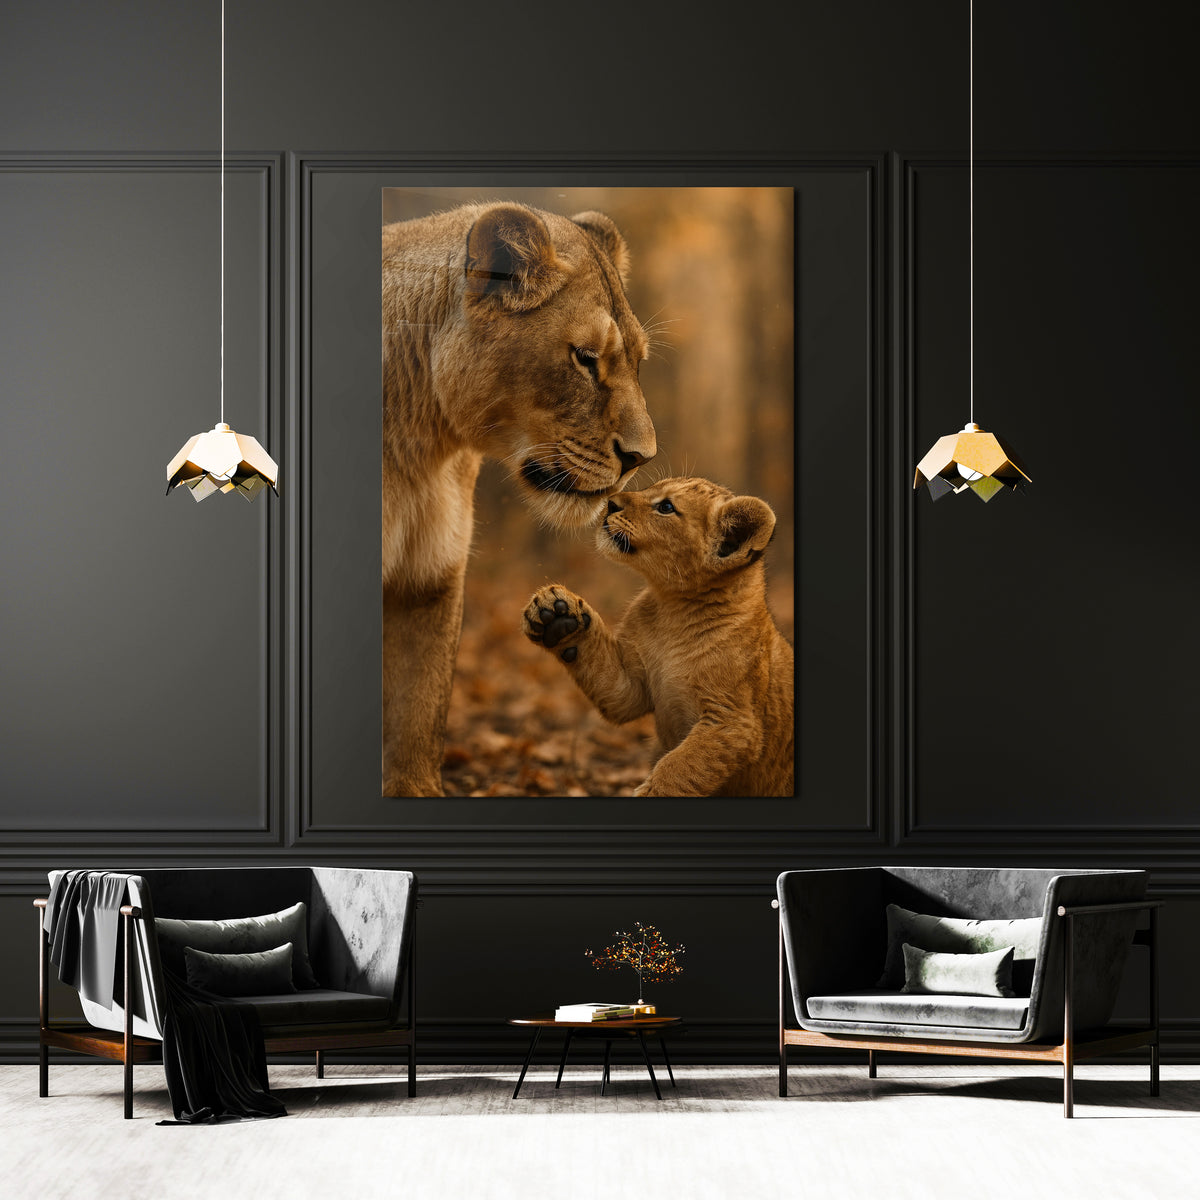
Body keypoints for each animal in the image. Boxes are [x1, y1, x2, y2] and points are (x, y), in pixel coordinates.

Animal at [382, 203, 656, 796]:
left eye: (638, 361)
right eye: (585, 358)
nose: (642, 457)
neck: (420, 443)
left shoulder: (428, 577)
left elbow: (416, 715)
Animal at [521, 477, 794, 797]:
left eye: (666, 507)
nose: (610, 503)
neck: (674, 610)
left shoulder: (734, 721)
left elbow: (681, 765)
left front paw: (651, 792)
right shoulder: (631, 689)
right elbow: (612, 684)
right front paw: (556, 614)